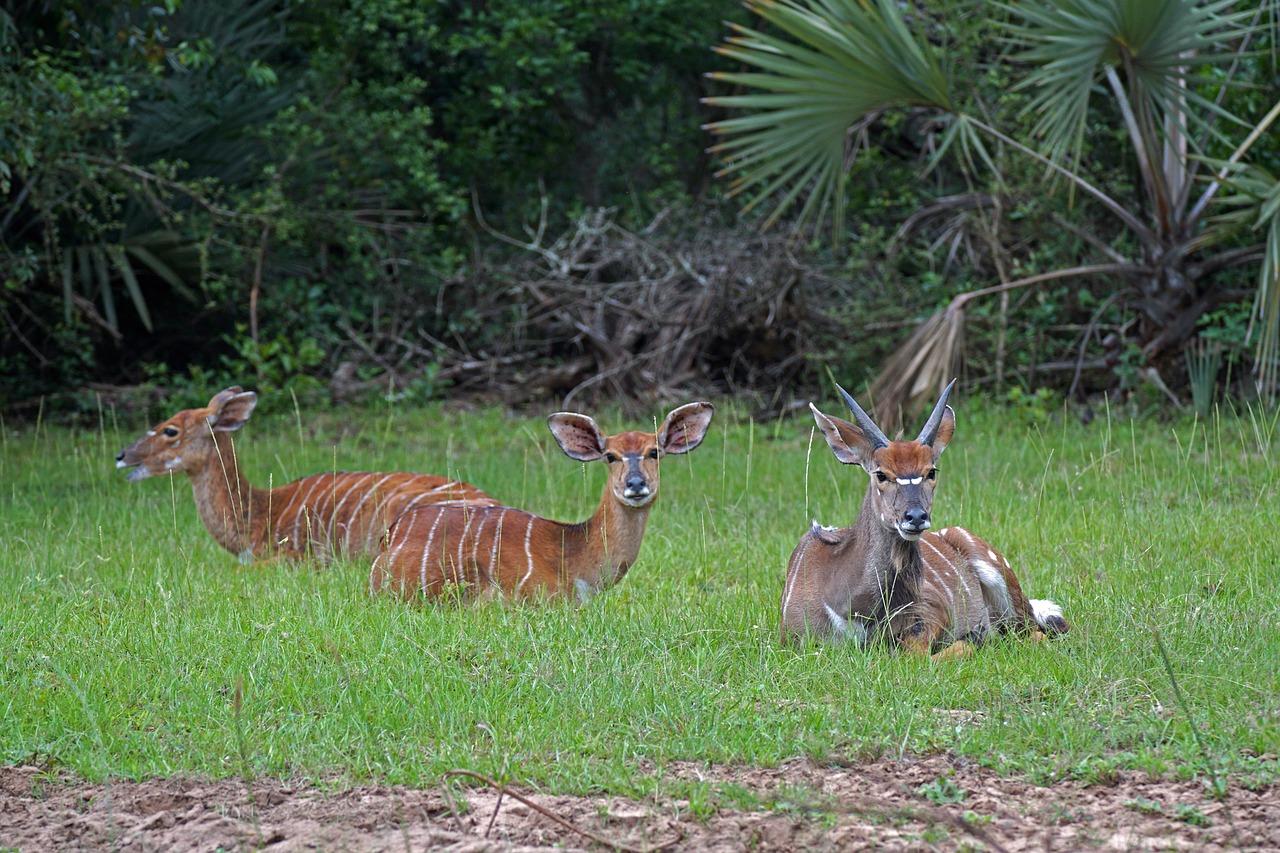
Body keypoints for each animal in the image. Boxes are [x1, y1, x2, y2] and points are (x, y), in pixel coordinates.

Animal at [778, 379, 1070, 655]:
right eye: (881, 474)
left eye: (931, 471)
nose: (916, 517)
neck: (855, 608)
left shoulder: (933, 609)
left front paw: (973, 637)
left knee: (1037, 633)